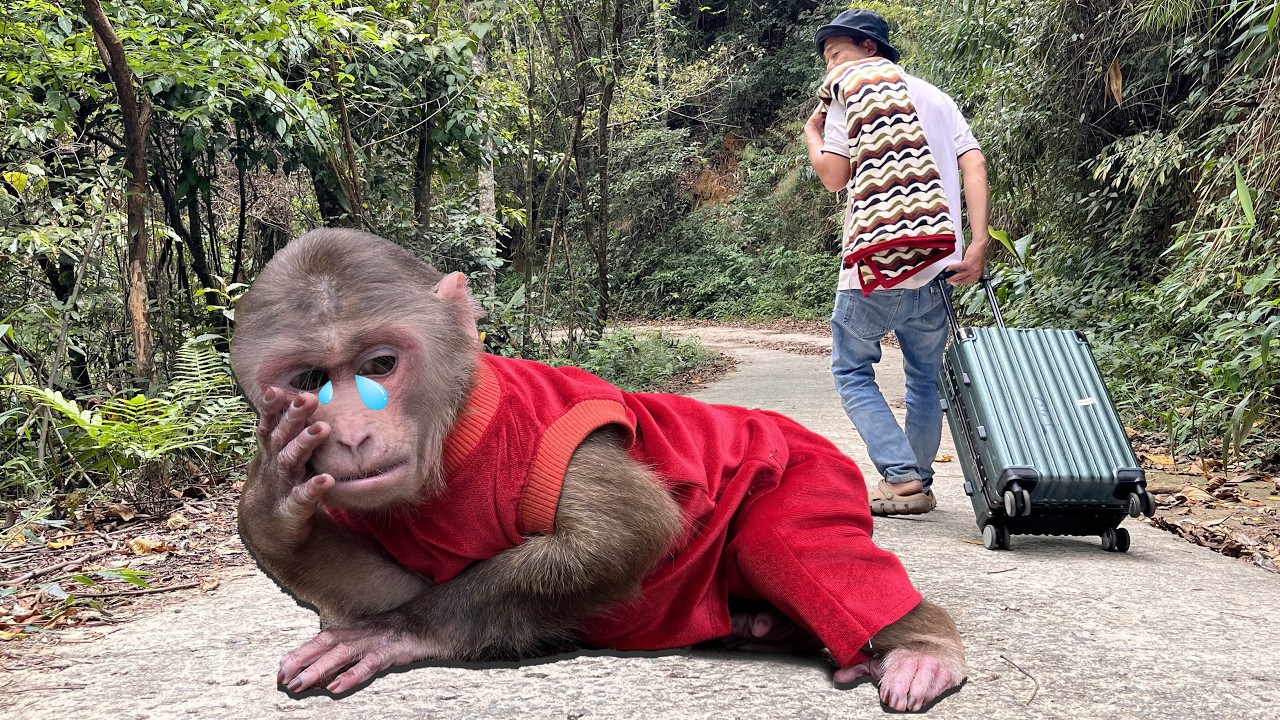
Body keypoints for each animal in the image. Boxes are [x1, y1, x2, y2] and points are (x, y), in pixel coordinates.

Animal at [229, 228, 966, 712]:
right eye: (311, 381)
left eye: (381, 365)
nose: (354, 434)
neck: (459, 438)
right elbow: (380, 586)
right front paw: (273, 503)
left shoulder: (552, 428)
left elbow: (628, 533)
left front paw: (401, 632)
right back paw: (763, 626)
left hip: (811, 465)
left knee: (787, 540)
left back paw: (920, 643)